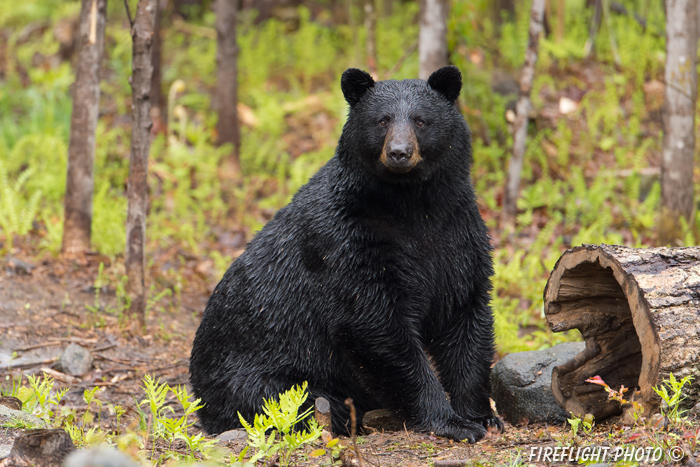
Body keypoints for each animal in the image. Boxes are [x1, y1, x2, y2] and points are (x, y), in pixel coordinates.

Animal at [189, 66, 500, 442]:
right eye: (382, 120)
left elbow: (465, 313)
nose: (399, 152)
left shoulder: (457, 235)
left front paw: (481, 415)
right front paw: (449, 420)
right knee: (297, 401)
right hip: (257, 374)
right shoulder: (347, 242)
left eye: (421, 120)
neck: (412, 204)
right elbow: (376, 324)